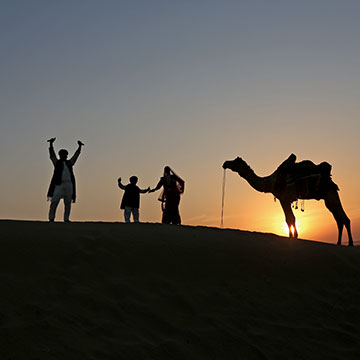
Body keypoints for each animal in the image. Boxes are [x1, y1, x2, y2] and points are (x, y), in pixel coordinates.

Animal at [224, 153, 352, 246]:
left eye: (235, 161)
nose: (225, 163)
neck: (270, 182)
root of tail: (330, 179)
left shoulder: (283, 199)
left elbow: (290, 219)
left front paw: (294, 236)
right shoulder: (285, 200)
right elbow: (289, 219)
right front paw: (292, 236)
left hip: (330, 194)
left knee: (344, 218)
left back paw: (350, 243)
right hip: (329, 196)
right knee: (339, 219)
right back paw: (339, 243)